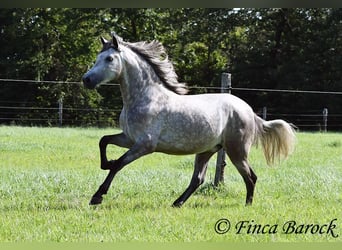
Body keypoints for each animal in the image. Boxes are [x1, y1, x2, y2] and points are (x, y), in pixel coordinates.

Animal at [81, 34, 296, 207]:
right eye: (97, 58)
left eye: (109, 58)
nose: (86, 80)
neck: (146, 97)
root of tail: (249, 111)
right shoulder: (129, 138)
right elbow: (104, 141)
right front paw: (105, 164)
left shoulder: (145, 145)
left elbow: (119, 164)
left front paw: (97, 196)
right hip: (207, 150)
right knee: (198, 179)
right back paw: (177, 203)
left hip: (237, 150)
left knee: (250, 176)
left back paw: (247, 205)